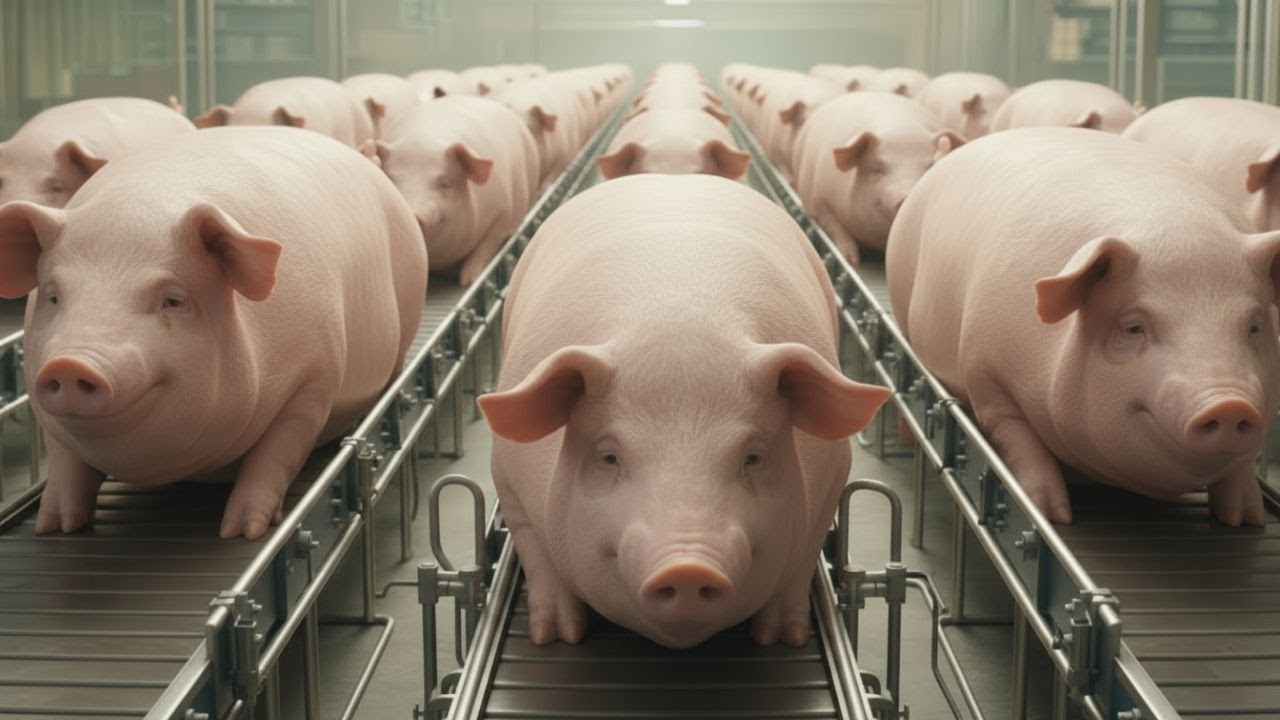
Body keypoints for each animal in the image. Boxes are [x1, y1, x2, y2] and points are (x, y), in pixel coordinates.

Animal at [0, 126, 428, 539]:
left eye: (173, 300)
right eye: (54, 296)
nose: (70, 364)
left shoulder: (315, 378)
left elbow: (275, 456)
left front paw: (241, 533)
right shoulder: (48, 415)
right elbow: (65, 465)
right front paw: (53, 528)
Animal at [366, 95, 538, 286]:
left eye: (444, 183)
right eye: (391, 180)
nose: (412, 213)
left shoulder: (504, 211)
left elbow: (487, 245)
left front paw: (468, 281)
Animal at [477, 174, 889, 648]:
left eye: (753, 457)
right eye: (609, 457)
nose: (687, 567)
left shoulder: (832, 477)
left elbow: (799, 568)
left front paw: (782, 640)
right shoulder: (507, 478)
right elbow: (538, 557)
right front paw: (556, 638)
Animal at [791, 92, 964, 264]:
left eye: (930, 166)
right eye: (877, 168)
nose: (907, 196)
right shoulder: (816, 197)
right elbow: (834, 226)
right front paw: (852, 260)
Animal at [886, 127, 1279, 527]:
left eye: (1254, 326)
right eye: (1134, 327)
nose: (1228, 403)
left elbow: (1241, 467)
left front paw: (1247, 521)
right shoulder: (985, 374)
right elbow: (1019, 440)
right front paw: (1052, 515)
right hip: (903, 306)